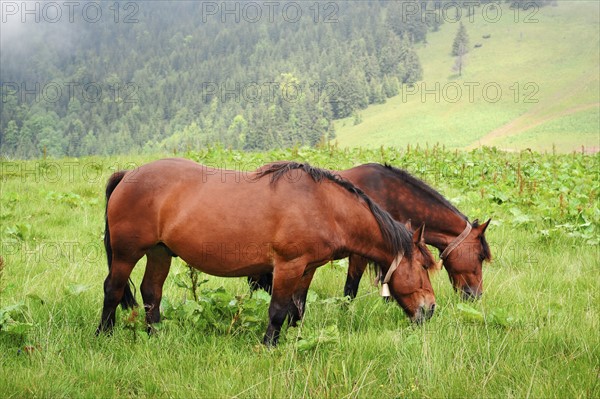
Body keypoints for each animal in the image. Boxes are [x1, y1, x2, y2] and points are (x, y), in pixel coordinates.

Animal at [97, 159, 436, 346]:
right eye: (422, 266)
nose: (431, 309)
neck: (323, 205)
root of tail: (127, 175)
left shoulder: (307, 268)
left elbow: (297, 310)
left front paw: (295, 340)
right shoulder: (287, 266)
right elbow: (277, 310)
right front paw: (269, 346)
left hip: (160, 253)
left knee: (151, 292)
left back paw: (155, 336)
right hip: (127, 254)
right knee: (113, 289)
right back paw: (104, 334)